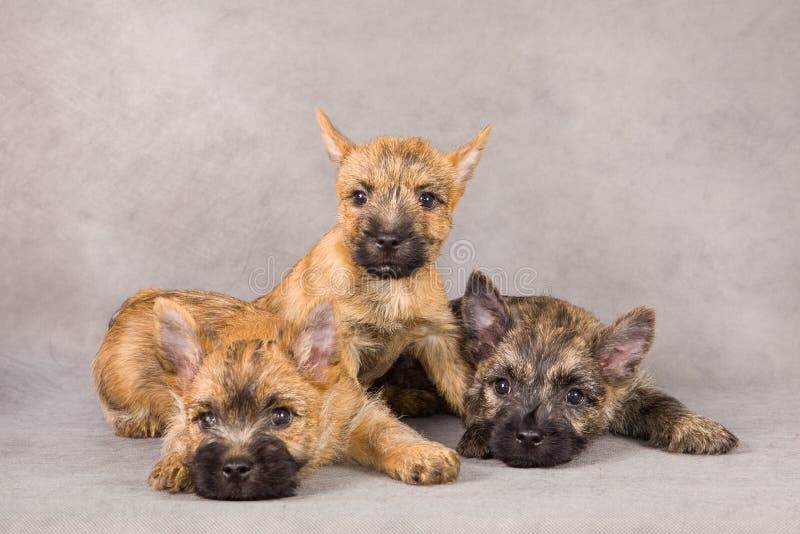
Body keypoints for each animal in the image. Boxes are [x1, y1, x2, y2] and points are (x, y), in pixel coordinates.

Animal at [454, 272, 740, 468]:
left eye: (574, 396)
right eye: (502, 386)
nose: (528, 436)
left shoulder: (628, 391)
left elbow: (660, 402)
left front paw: (694, 426)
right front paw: (480, 433)